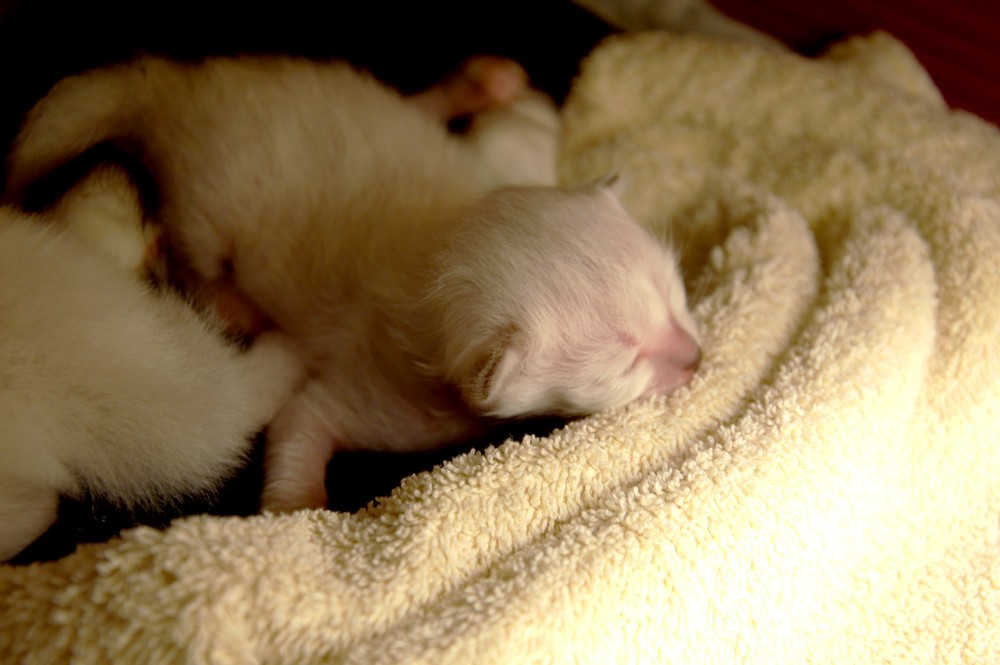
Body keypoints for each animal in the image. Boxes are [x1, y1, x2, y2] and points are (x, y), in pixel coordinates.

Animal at [5, 54, 701, 513]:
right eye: (626, 363)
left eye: (675, 294)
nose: (698, 357)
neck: (434, 243)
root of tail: (175, 87)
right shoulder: (371, 383)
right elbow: (299, 423)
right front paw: (297, 509)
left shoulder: (490, 170)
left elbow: (516, 141)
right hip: (196, 205)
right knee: (192, 256)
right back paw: (234, 303)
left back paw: (482, 81)